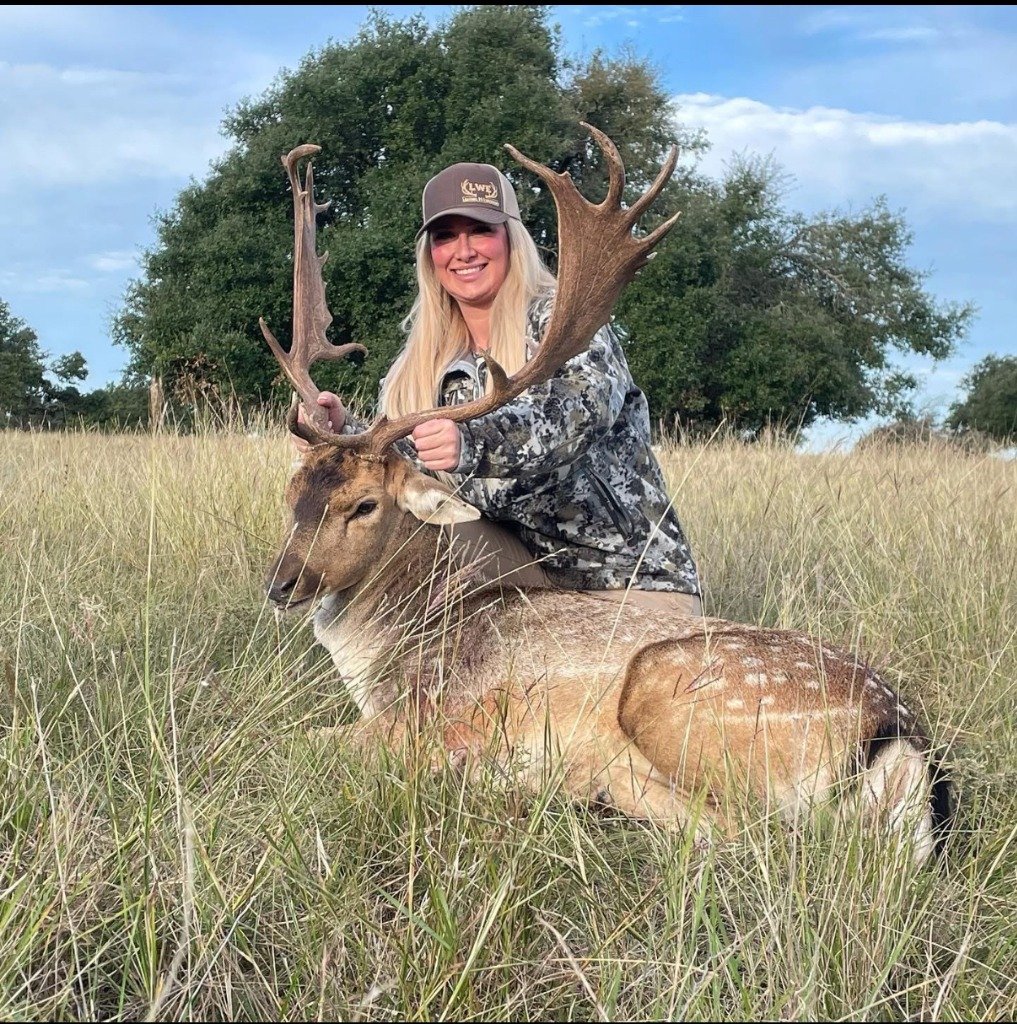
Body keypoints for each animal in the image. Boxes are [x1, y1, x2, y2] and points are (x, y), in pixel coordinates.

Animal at [260, 128, 951, 867]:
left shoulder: (419, 720)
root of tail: (896, 736)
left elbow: (296, 742)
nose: (281, 585)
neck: (393, 650)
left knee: (749, 833)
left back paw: (555, 780)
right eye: (293, 492)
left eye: (365, 505)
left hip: (680, 698)